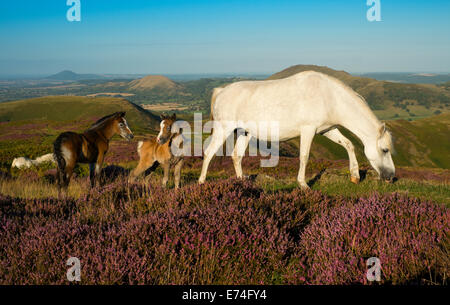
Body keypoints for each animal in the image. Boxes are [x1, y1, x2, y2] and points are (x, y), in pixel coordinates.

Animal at [199, 70, 396, 188]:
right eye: (385, 150)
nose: (391, 177)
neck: (329, 96)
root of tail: (222, 91)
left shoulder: (327, 130)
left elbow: (348, 144)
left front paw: (355, 175)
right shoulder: (308, 130)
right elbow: (304, 156)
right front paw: (303, 184)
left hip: (244, 132)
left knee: (236, 156)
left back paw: (242, 181)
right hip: (223, 129)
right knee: (209, 153)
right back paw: (201, 182)